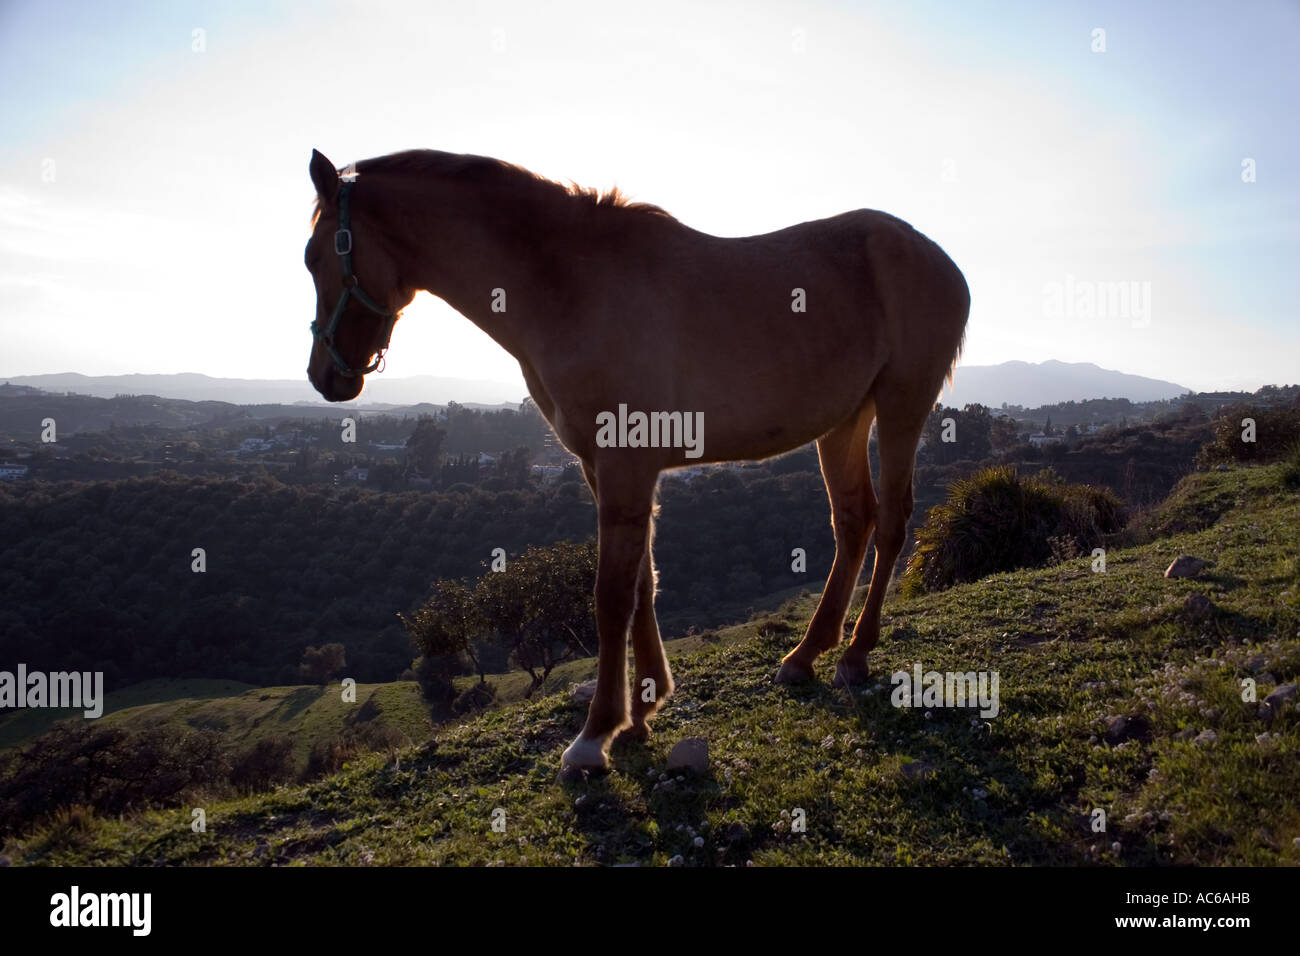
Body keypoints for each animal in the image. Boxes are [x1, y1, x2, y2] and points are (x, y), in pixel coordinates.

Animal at [304, 151, 972, 780]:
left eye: (315, 257)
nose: (324, 377)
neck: (569, 284)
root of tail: (940, 259)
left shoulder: (626, 465)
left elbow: (610, 597)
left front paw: (595, 735)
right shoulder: (604, 469)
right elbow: (643, 585)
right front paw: (643, 710)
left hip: (902, 405)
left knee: (891, 524)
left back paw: (855, 656)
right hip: (844, 423)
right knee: (854, 522)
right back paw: (806, 656)